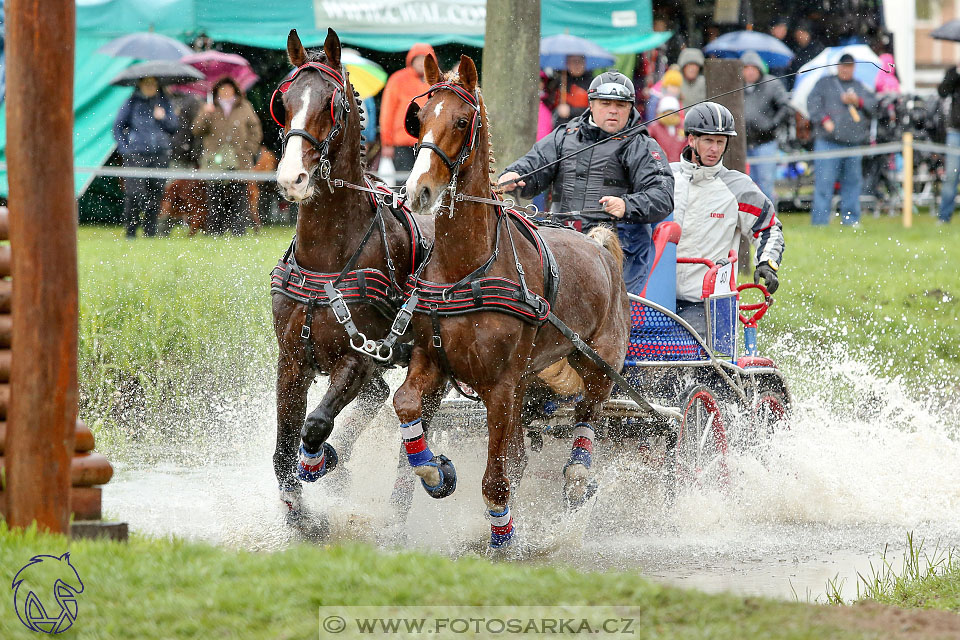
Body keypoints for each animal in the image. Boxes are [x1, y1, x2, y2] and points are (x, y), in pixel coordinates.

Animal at [272, 27, 434, 524]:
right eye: (283, 101)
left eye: (332, 104)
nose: (292, 177)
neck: (326, 258)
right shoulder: (291, 360)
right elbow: (282, 449)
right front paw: (299, 514)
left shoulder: (360, 356)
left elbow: (315, 426)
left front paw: (321, 463)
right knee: (377, 398)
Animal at [392, 55, 632, 548]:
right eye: (418, 120)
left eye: (461, 121)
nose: (417, 191)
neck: (466, 270)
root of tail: (600, 248)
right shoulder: (431, 360)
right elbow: (405, 403)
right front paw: (433, 470)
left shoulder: (501, 386)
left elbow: (496, 479)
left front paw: (502, 538)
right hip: (529, 382)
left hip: (599, 365)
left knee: (588, 415)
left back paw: (577, 476)